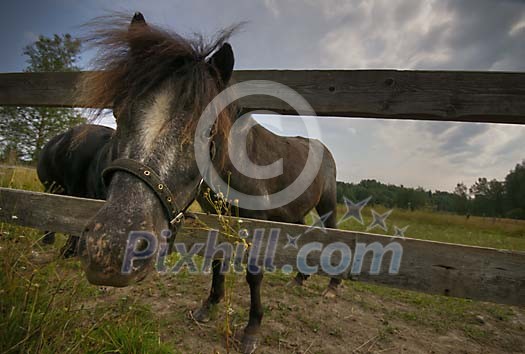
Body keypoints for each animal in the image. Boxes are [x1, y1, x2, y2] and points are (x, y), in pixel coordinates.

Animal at [39, 12, 340, 352]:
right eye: (118, 113)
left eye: (206, 130)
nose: (112, 250)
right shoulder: (220, 219)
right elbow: (218, 262)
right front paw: (208, 306)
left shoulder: (257, 223)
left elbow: (253, 274)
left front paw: (251, 329)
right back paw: (301, 278)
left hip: (327, 206)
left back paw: (332, 285)